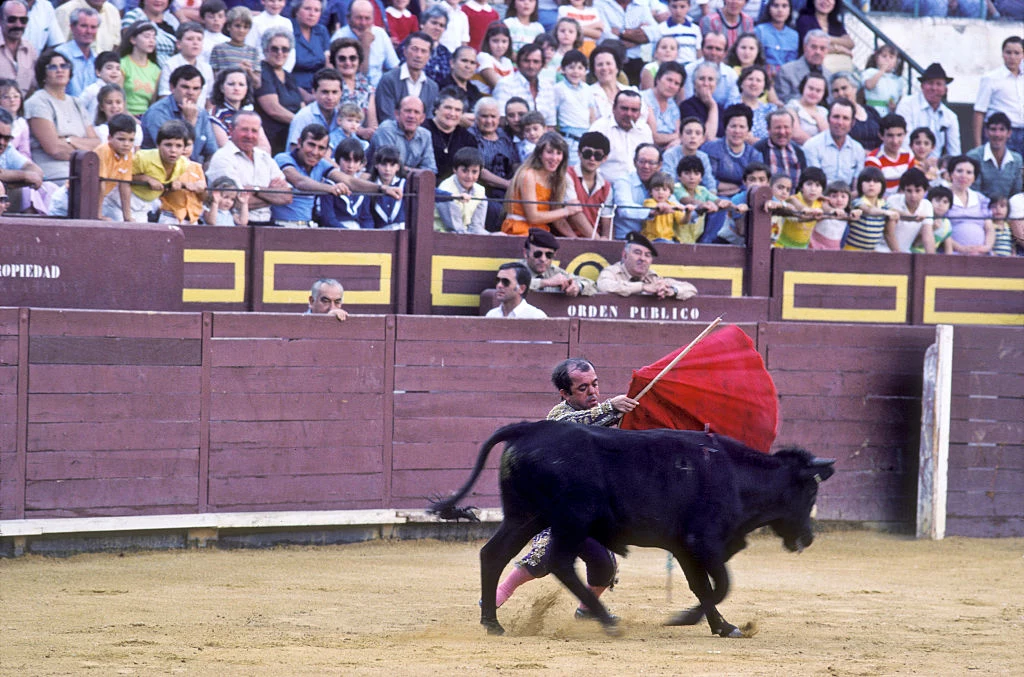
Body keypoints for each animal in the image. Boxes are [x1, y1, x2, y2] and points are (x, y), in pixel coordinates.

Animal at [428, 419, 835, 635]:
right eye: (811, 489)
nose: (807, 537)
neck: (737, 475)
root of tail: (530, 429)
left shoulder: (684, 548)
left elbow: (703, 587)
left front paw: (721, 626)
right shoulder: (704, 543)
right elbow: (721, 586)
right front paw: (690, 619)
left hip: (525, 516)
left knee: (494, 555)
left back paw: (492, 622)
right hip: (570, 520)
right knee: (558, 563)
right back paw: (607, 620)